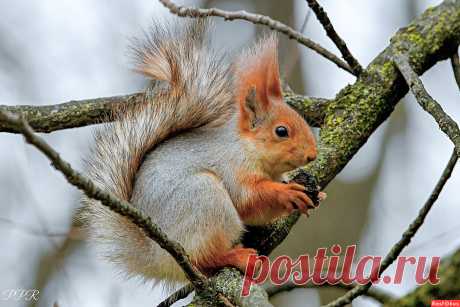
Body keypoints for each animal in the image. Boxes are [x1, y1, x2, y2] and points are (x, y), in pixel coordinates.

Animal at [80, 18, 324, 284]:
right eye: (281, 131)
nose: (312, 155)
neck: (246, 147)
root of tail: (155, 256)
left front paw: (317, 194)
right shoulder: (232, 166)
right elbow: (249, 199)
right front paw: (286, 192)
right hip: (204, 200)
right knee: (205, 257)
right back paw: (236, 257)